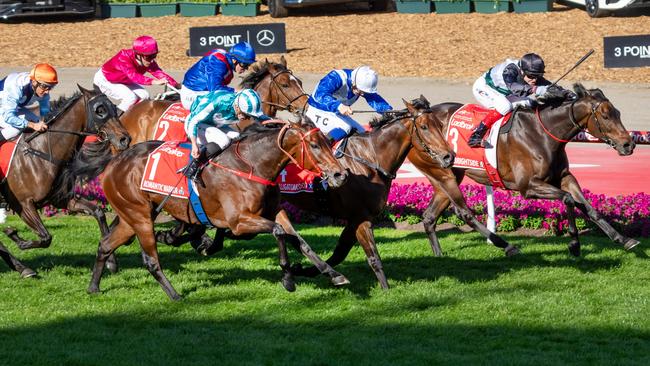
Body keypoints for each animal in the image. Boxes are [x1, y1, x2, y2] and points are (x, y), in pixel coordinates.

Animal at [0, 86, 130, 278]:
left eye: (114, 107)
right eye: (99, 110)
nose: (125, 139)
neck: (41, 152)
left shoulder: (61, 199)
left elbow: (98, 212)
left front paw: (111, 262)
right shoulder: (23, 204)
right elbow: (46, 237)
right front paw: (15, 236)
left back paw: (23, 268)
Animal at [87, 120, 350, 300]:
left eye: (328, 142)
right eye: (314, 145)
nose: (340, 174)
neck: (253, 165)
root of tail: (114, 162)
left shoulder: (274, 211)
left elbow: (298, 239)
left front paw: (332, 273)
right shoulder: (239, 220)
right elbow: (277, 232)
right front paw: (288, 279)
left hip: (131, 218)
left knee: (106, 245)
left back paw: (94, 287)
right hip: (140, 216)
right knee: (151, 260)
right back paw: (175, 294)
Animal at [284, 96, 456, 288]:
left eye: (440, 125)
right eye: (424, 126)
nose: (449, 156)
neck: (369, 160)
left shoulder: (356, 219)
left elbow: (339, 252)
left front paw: (305, 270)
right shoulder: (361, 216)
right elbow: (373, 256)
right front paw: (386, 290)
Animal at [408, 84, 636, 258]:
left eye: (618, 113)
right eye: (605, 116)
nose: (629, 144)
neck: (542, 133)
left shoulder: (564, 177)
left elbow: (588, 207)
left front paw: (623, 239)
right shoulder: (528, 186)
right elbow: (568, 199)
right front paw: (574, 245)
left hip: (450, 176)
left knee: (429, 216)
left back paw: (439, 255)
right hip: (441, 172)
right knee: (462, 212)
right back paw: (507, 246)